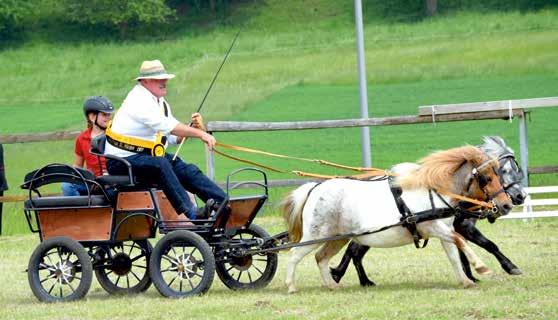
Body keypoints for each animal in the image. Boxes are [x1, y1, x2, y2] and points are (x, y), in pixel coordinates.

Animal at [282, 145, 516, 292]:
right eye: (487, 178)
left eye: (498, 174)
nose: (507, 204)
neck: (433, 191)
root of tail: (315, 188)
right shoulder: (433, 226)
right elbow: (461, 242)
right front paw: (481, 267)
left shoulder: (446, 229)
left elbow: (454, 254)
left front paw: (466, 281)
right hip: (315, 234)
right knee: (294, 255)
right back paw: (291, 285)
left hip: (338, 237)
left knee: (321, 257)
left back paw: (332, 284)